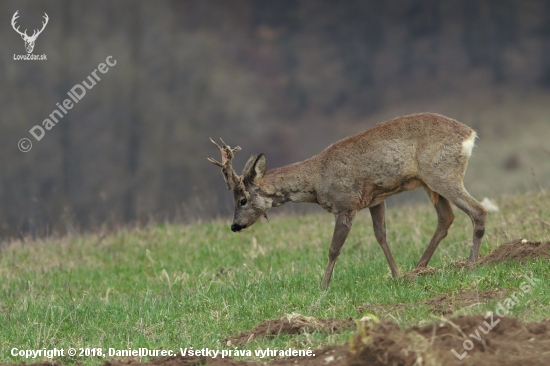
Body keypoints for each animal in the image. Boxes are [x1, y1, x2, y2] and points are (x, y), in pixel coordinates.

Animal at [208, 113, 488, 288]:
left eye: (242, 200)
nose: (234, 226)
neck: (316, 181)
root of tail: (470, 134)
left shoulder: (346, 204)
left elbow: (334, 249)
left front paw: (323, 286)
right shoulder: (375, 199)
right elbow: (381, 235)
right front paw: (397, 275)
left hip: (442, 174)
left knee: (478, 210)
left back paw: (470, 265)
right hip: (429, 182)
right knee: (446, 217)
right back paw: (419, 267)